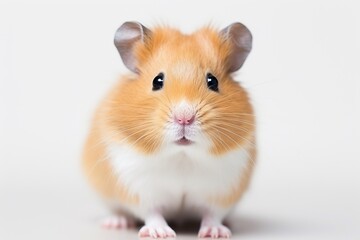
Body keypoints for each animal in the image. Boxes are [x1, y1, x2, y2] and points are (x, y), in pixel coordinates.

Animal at [81, 21, 256, 239]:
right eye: (157, 81)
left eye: (213, 81)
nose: (184, 118)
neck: (182, 155)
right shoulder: (139, 186)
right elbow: (152, 213)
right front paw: (161, 233)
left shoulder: (222, 188)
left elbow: (212, 214)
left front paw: (214, 233)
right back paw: (117, 222)